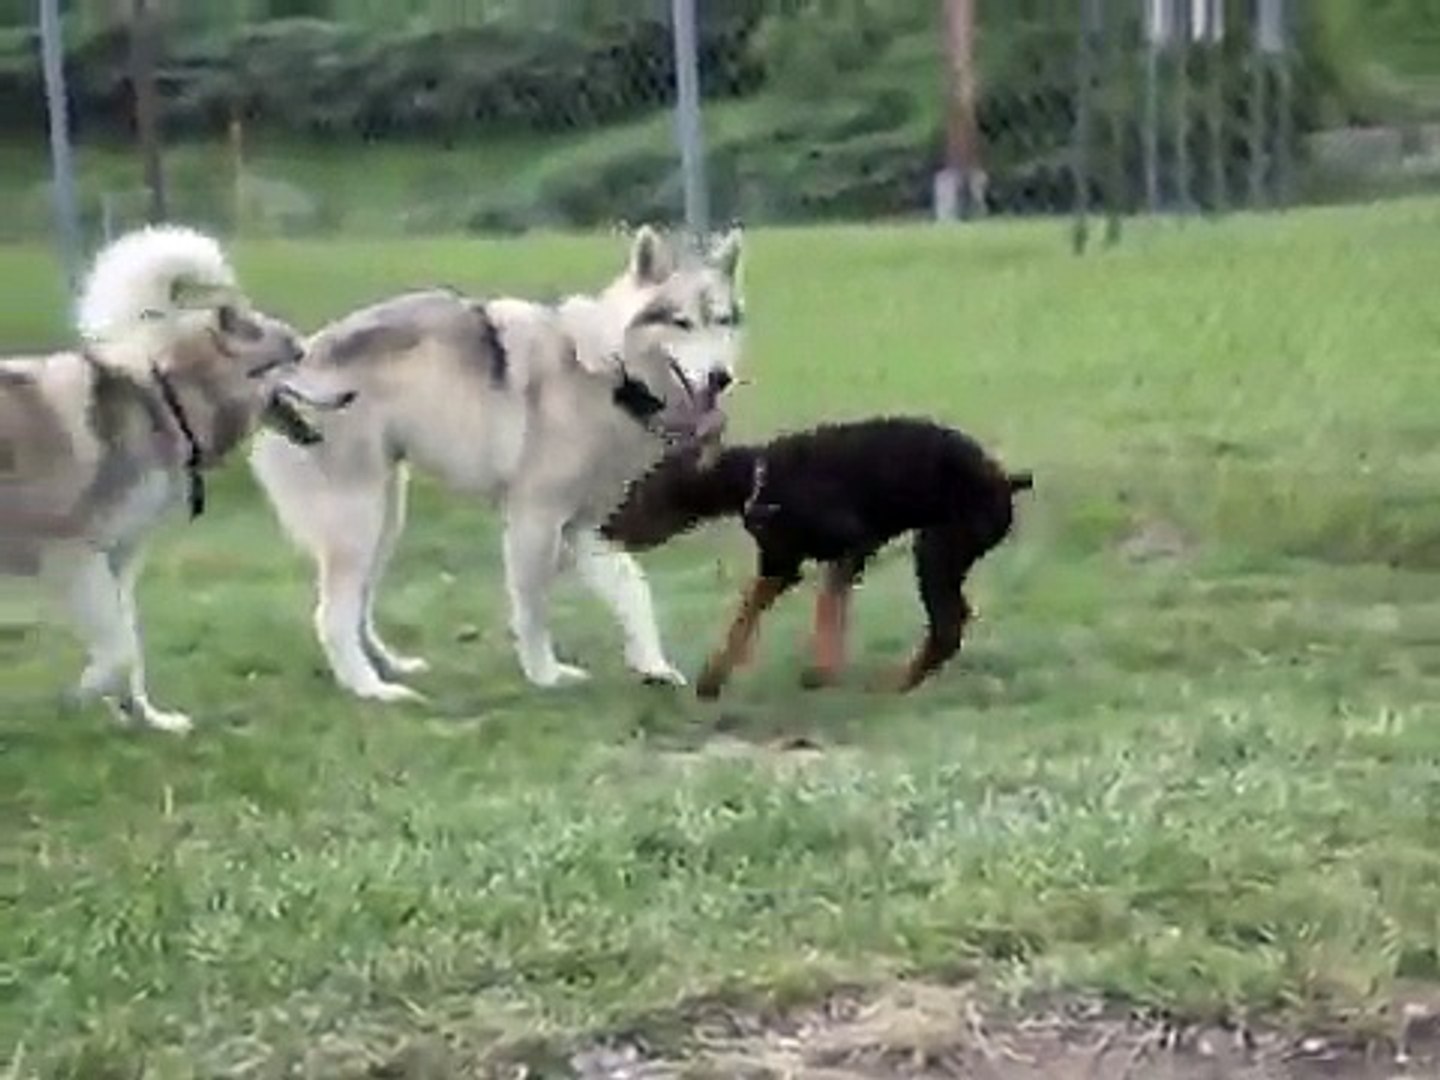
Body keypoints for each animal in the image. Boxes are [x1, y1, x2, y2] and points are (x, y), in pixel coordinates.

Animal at [0, 224, 346, 733]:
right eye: (299, 356)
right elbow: (118, 651)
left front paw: (145, 718)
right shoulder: (74, 558)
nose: (351, 392)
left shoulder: (119, 560)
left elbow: (130, 647)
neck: (171, 399)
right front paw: (83, 694)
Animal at [248, 225, 744, 701]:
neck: (609, 372)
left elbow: (634, 591)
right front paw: (545, 676)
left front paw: (652, 665)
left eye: (721, 321)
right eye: (681, 323)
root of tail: (288, 372)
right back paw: (371, 690)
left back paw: (391, 666)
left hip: (385, 519)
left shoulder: (586, 529)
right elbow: (534, 610)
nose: (722, 378)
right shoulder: (535, 521)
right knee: (332, 616)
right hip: (358, 520)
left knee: (357, 609)